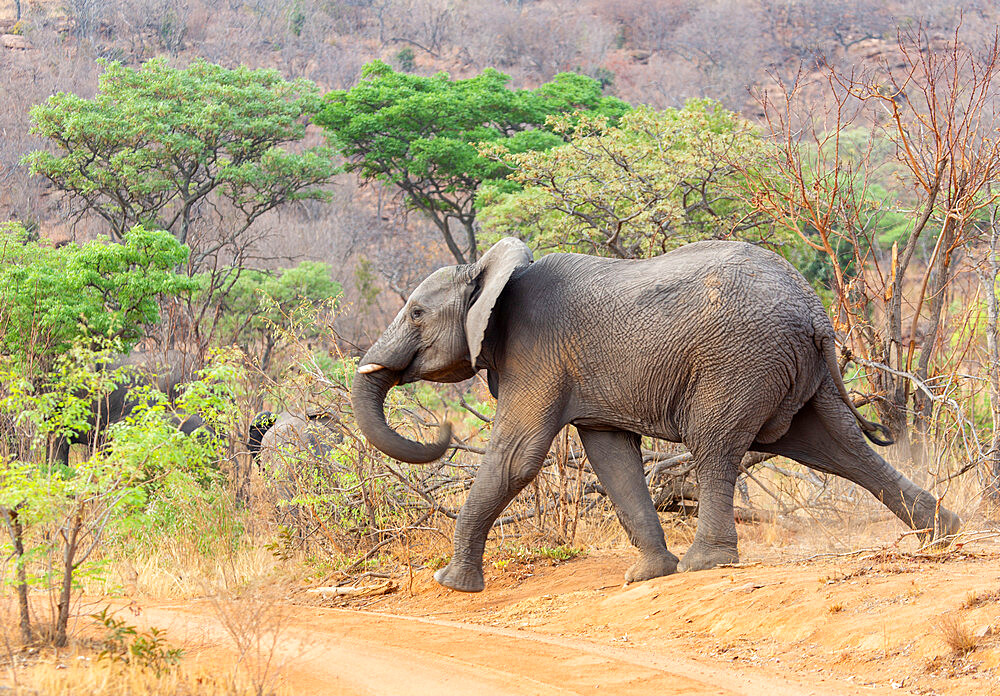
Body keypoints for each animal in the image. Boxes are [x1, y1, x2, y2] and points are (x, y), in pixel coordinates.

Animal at [356, 239, 964, 592]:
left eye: (415, 312)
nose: (444, 430)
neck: (490, 274)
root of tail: (816, 315)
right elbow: (610, 456)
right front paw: (648, 576)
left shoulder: (535, 353)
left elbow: (516, 457)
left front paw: (450, 583)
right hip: (795, 370)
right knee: (839, 448)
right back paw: (945, 531)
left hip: (738, 361)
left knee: (715, 447)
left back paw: (706, 564)